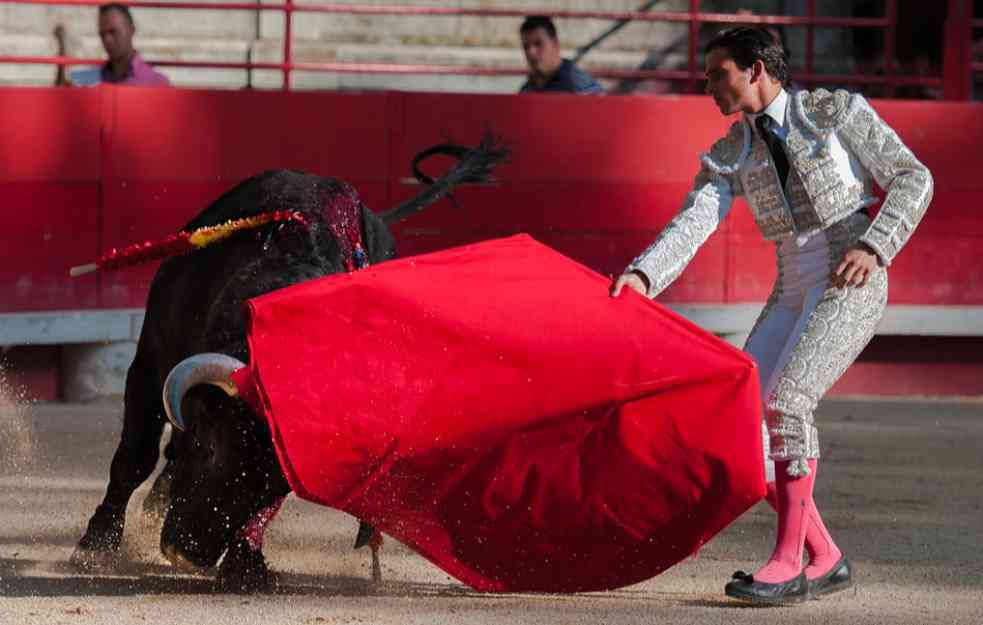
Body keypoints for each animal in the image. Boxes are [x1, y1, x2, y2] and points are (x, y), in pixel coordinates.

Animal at [71, 139, 508, 592]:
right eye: (212, 449)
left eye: (275, 487)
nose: (188, 552)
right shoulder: (148, 364)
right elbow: (134, 456)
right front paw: (96, 545)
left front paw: (246, 564)